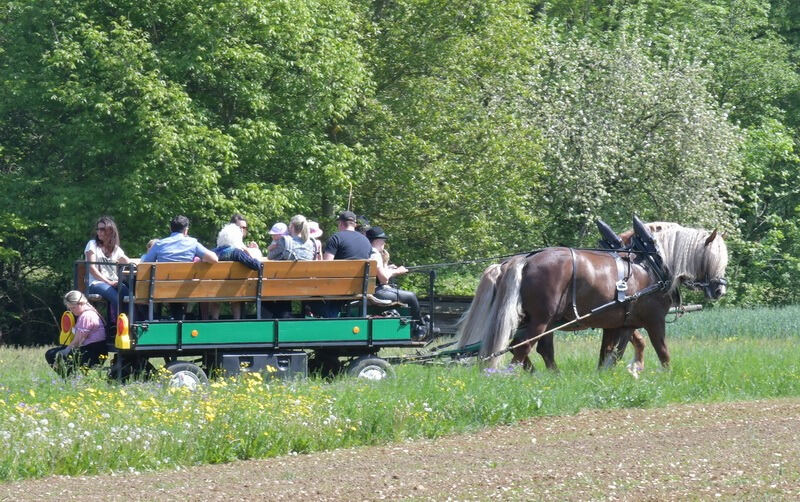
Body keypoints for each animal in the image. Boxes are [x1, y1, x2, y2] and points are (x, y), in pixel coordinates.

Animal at [454, 222, 728, 374]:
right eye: (713, 258)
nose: (719, 289)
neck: (651, 262)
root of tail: (525, 259)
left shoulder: (621, 322)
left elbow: (613, 352)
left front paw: (617, 372)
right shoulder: (654, 320)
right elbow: (661, 350)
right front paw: (667, 374)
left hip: (536, 320)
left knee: (534, 348)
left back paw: (549, 375)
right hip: (541, 320)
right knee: (523, 348)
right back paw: (517, 374)